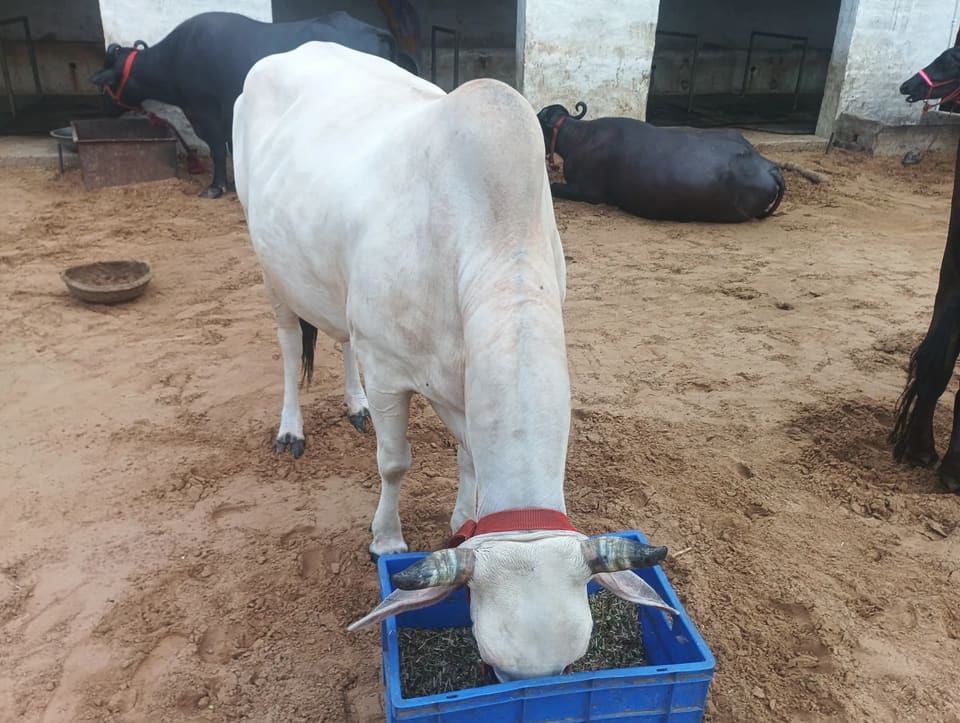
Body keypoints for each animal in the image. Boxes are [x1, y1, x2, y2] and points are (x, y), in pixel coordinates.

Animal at [90, 11, 418, 199]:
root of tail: (373, 30)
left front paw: (216, 187)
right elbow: (233, 148)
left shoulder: (203, 112)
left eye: (106, 83)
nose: (103, 110)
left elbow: (217, 148)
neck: (175, 58)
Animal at [232, 41, 676, 681]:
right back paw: (291, 428)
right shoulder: (390, 373)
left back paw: (353, 405)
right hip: (271, 266)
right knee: (293, 346)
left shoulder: (458, 378)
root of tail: (291, 49)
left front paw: (462, 516)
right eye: (491, 663)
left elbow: (469, 455)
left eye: (572, 663)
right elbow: (395, 462)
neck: (490, 235)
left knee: (342, 337)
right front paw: (387, 540)